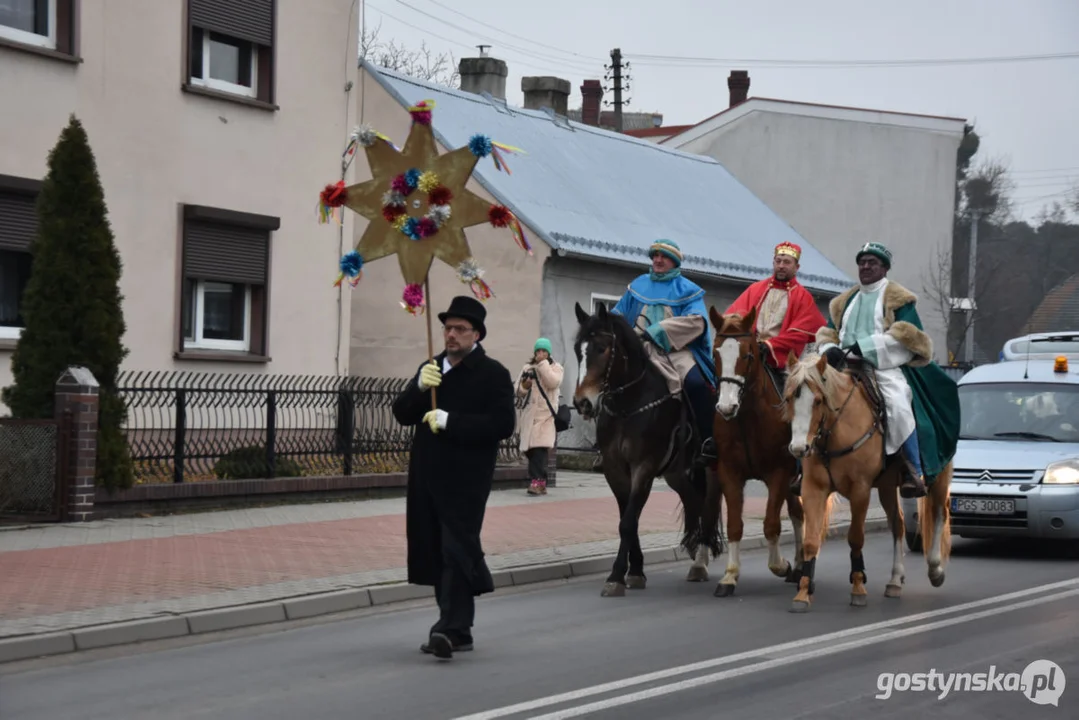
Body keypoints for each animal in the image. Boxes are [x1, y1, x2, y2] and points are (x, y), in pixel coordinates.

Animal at [574, 300, 725, 595]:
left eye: (602, 348)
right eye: (578, 350)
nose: (582, 402)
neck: (629, 405)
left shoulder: (643, 467)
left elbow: (628, 522)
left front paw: (617, 577)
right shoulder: (615, 470)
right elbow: (627, 520)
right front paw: (635, 571)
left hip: (712, 470)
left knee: (709, 507)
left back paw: (699, 563)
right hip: (677, 474)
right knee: (695, 502)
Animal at [703, 308, 807, 595]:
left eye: (747, 354)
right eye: (715, 354)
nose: (726, 407)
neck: (748, 417)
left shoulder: (779, 473)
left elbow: (771, 524)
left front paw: (780, 565)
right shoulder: (729, 472)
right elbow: (734, 525)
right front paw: (729, 576)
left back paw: (799, 566)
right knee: (797, 513)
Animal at [785, 354, 953, 613]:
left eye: (818, 400)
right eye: (789, 398)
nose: (798, 448)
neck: (836, 430)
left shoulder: (860, 490)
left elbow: (855, 538)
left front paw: (858, 588)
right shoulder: (813, 489)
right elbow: (810, 541)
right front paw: (802, 594)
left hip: (939, 476)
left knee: (939, 512)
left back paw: (935, 569)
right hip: (886, 486)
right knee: (898, 525)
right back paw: (895, 580)